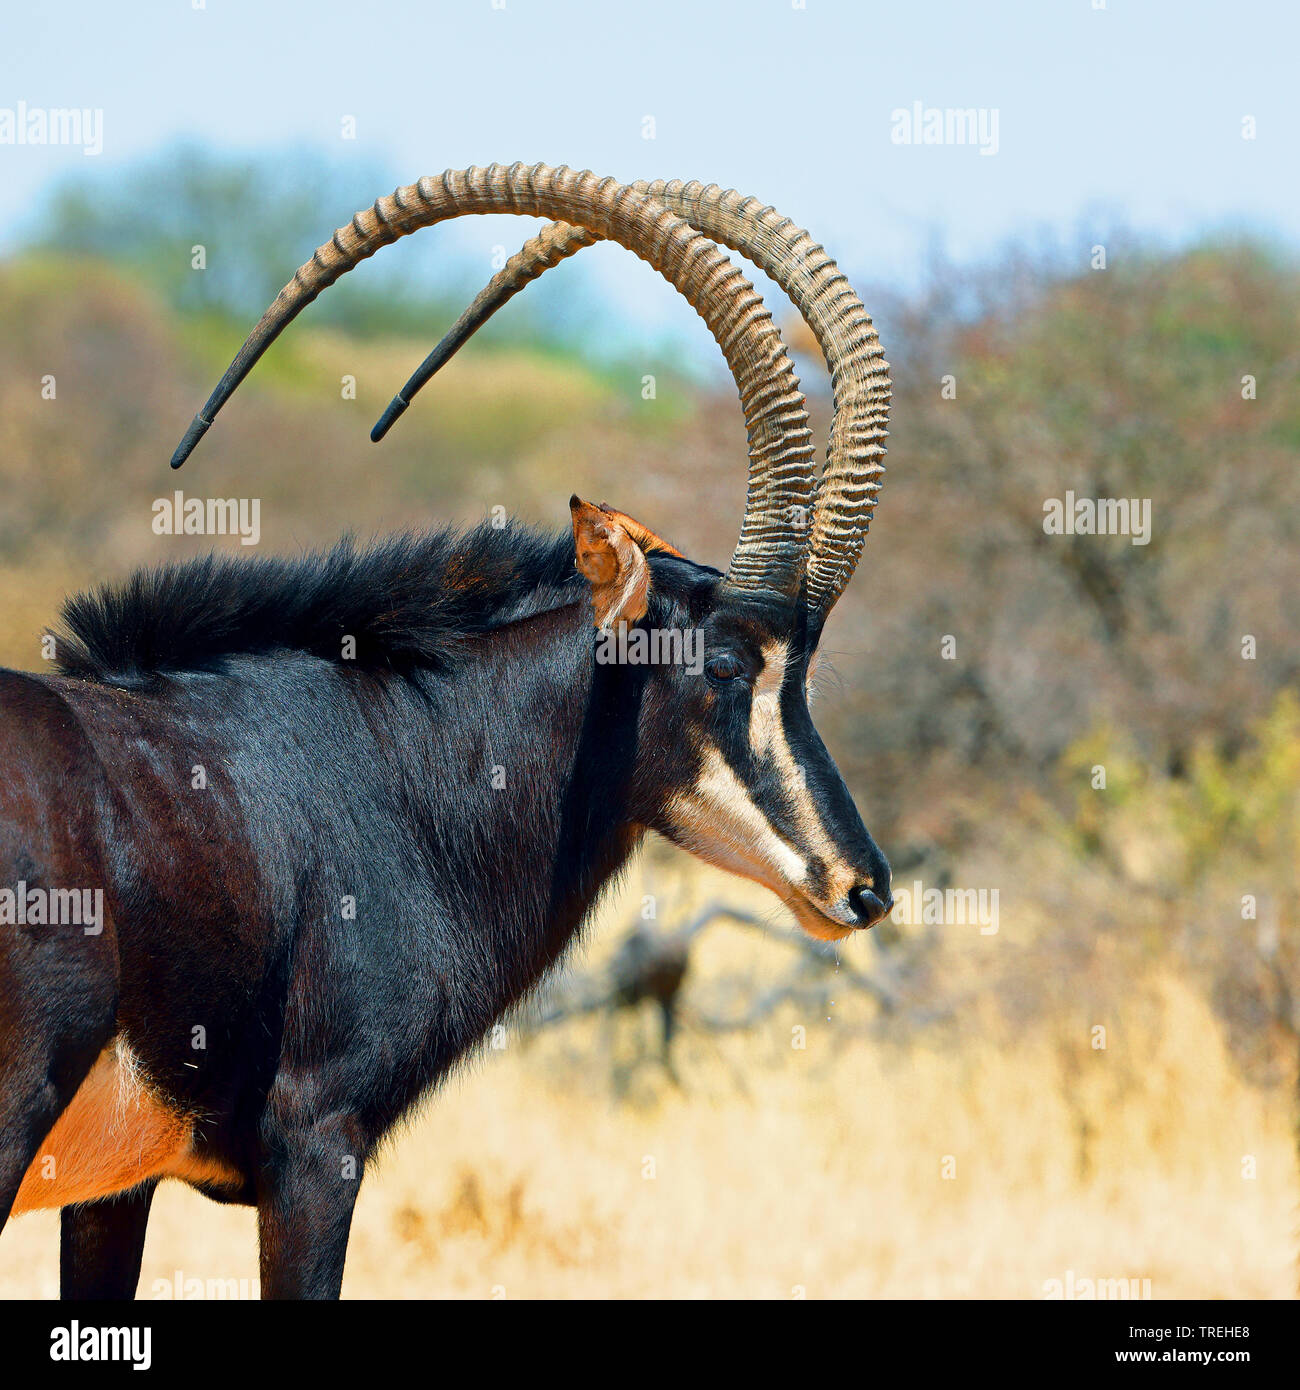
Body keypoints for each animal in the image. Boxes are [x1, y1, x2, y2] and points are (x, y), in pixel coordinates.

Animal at [0, 165, 895, 1301]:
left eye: (807, 666)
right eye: (728, 663)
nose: (861, 887)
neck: (392, 762)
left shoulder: (116, 1187)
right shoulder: (315, 1144)